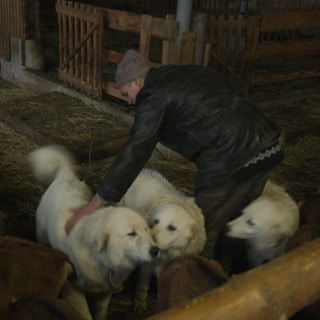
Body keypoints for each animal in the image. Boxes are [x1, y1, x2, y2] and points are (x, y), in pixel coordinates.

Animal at [27, 146, 160, 320]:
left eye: (146, 230)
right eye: (131, 233)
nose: (156, 250)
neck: (100, 258)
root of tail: (66, 175)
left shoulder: (105, 291)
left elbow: (101, 311)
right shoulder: (72, 289)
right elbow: (84, 314)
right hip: (42, 234)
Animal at [119, 169, 206, 312]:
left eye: (172, 227)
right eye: (155, 221)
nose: (150, 243)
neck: (170, 252)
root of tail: (143, 171)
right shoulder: (147, 265)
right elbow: (143, 286)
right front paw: (140, 303)